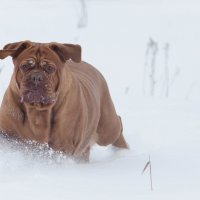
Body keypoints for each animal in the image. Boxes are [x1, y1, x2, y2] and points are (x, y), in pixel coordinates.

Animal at [0, 41, 128, 161]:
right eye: (25, 66)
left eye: (50, 68)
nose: (36, 77)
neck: (37, 110)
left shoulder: (63, 146)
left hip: (107, 128)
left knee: (118, 125)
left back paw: (122, 151)